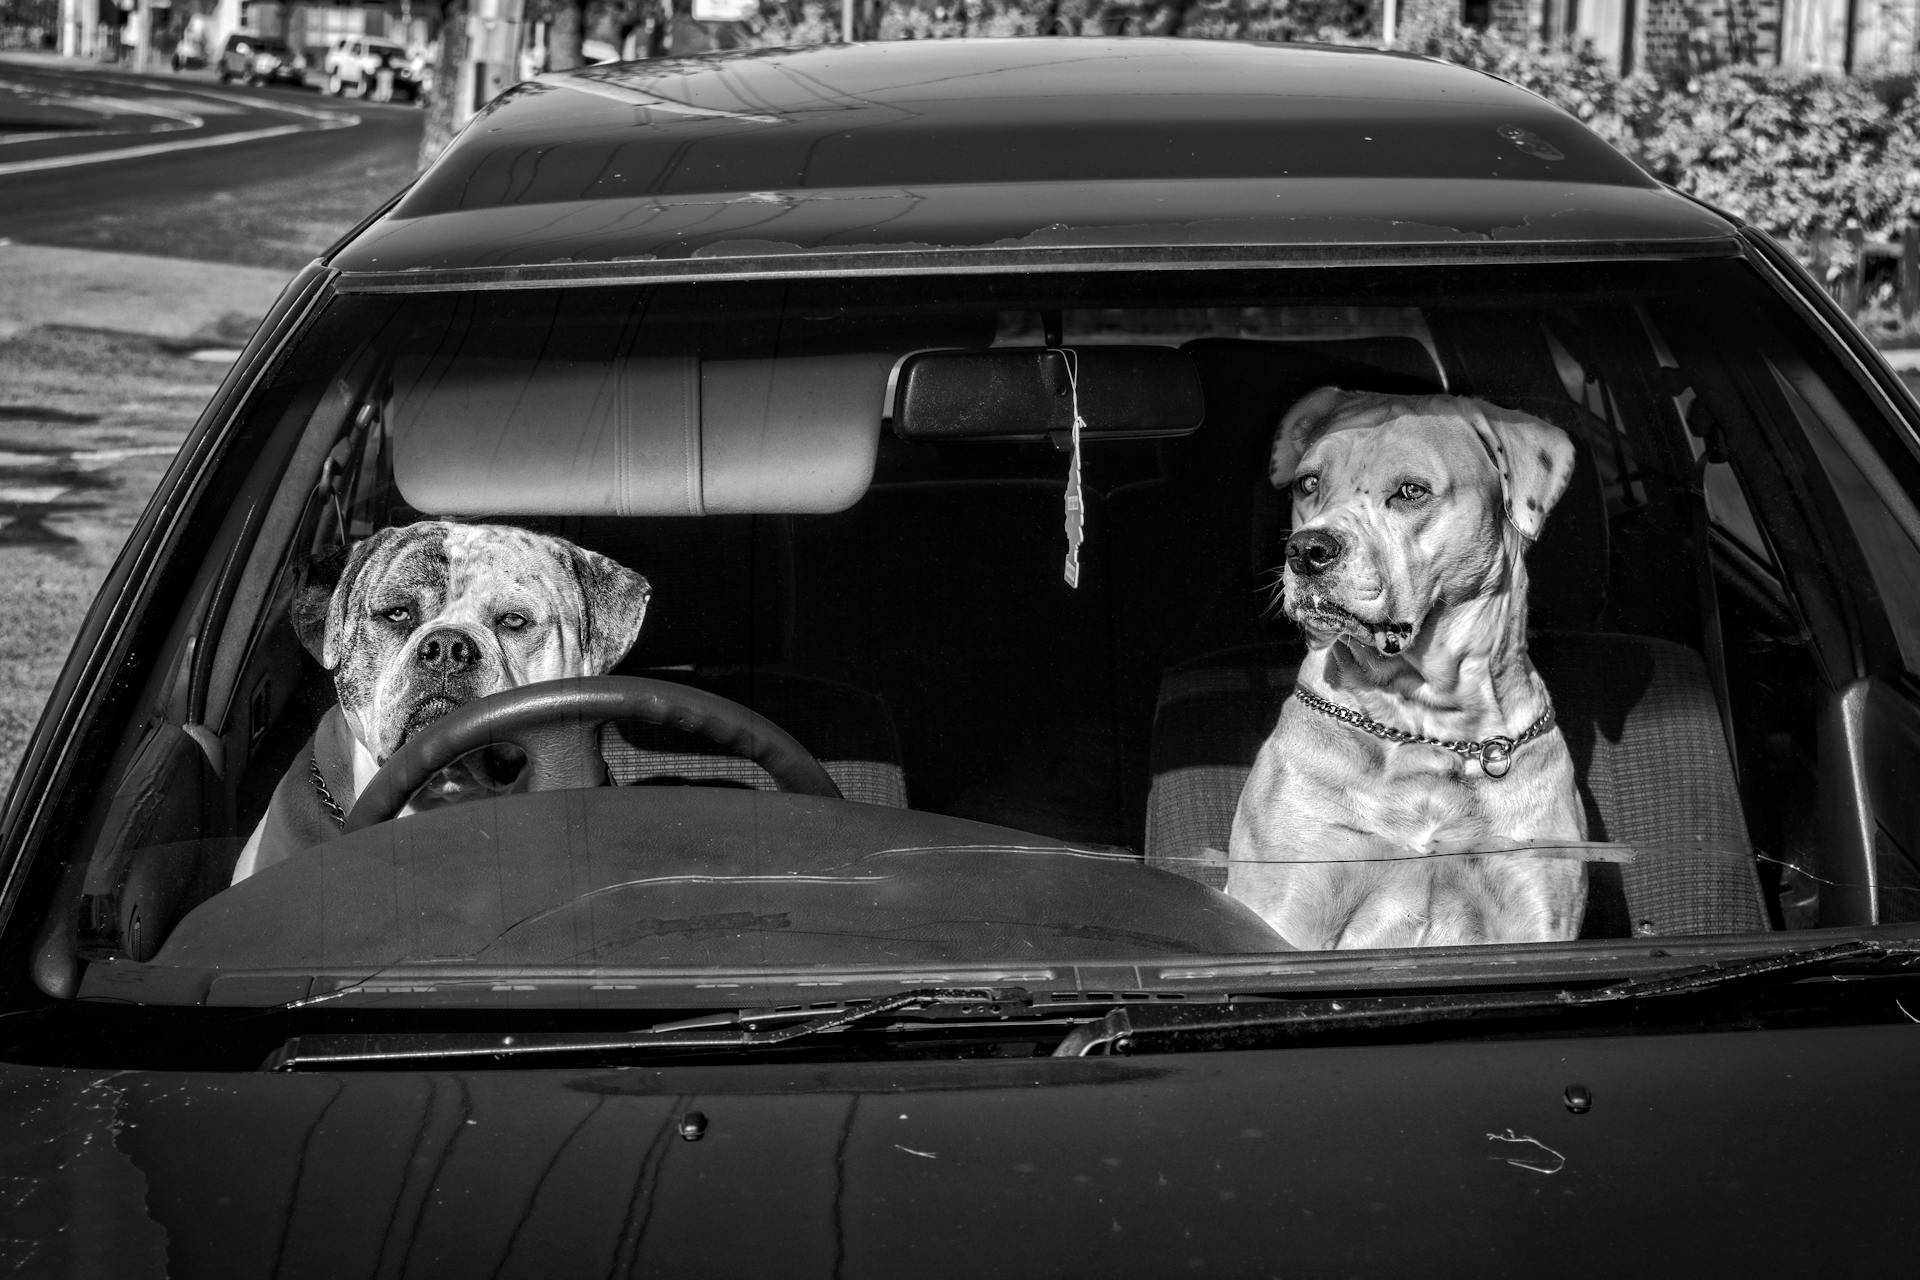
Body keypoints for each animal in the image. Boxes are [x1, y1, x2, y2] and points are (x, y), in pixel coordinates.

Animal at [1228, 387, 1589, 951]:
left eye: (1411, 491)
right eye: (1310, 483)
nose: (1306, 549)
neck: (1428, 722)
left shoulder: (1536, 906)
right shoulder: (1290, 903)